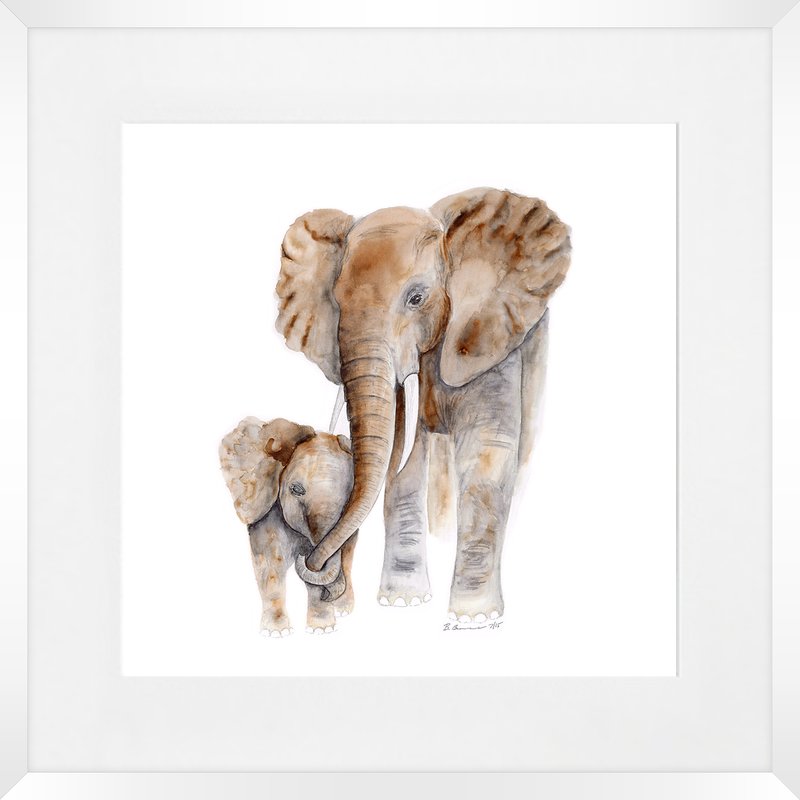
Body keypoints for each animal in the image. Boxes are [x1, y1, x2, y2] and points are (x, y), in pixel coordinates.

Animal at [219, 416, 357, 635]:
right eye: (296, 489)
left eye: (349, 497)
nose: (329, 595)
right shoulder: (268, 506)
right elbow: (270, 561)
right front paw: (277, 632)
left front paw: (322, 629)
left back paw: (343, 609)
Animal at [275, 187, 571, 621]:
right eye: (336, 302)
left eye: (416, 298)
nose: (314, 564)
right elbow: (402, 459)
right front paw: (403, 601)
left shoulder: (494, 337)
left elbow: (488, 451)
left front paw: (473, 618)